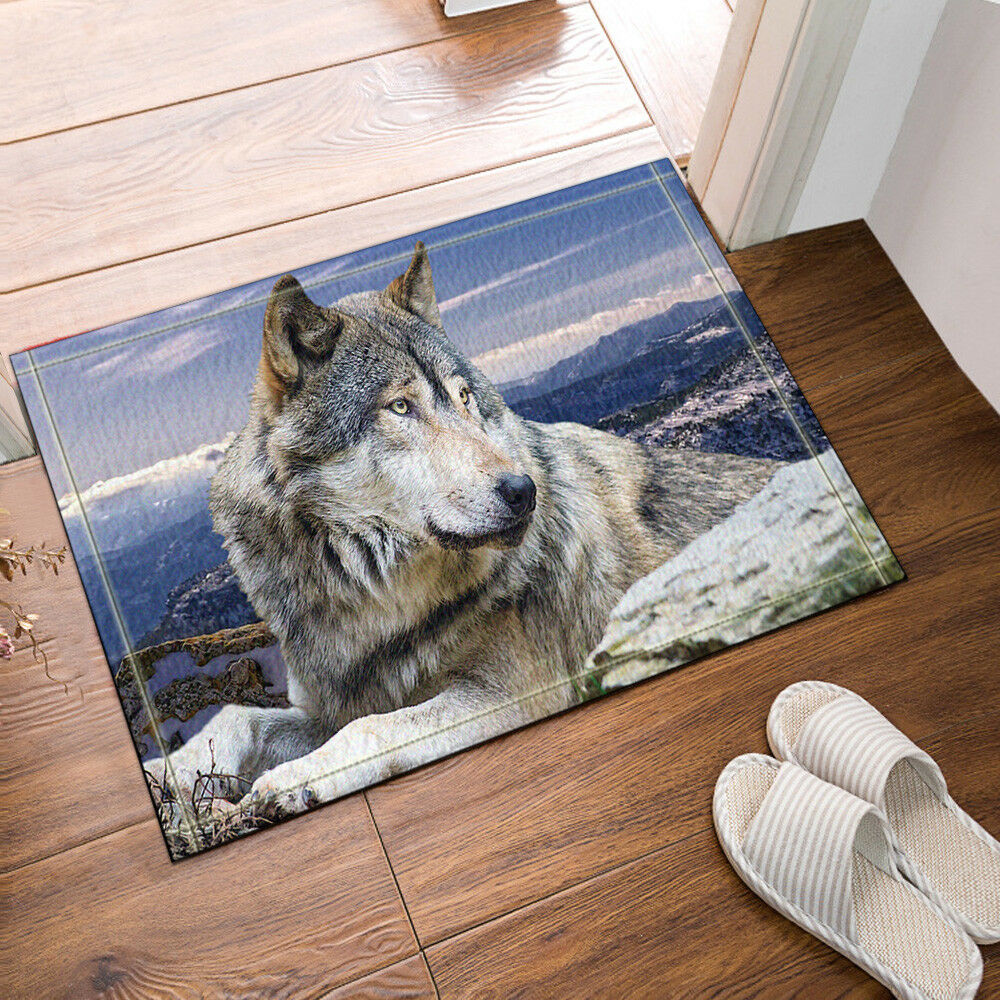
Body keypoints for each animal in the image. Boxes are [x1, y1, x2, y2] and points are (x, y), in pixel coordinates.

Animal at [147, 243, 779, 817]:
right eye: (401, 407)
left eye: (465, 397)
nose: (523, 491)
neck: (373, 604)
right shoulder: (326, 705)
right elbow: (238, 718)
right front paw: (166, 770)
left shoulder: (512, 693)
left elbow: (375, 727)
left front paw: (291, 781)